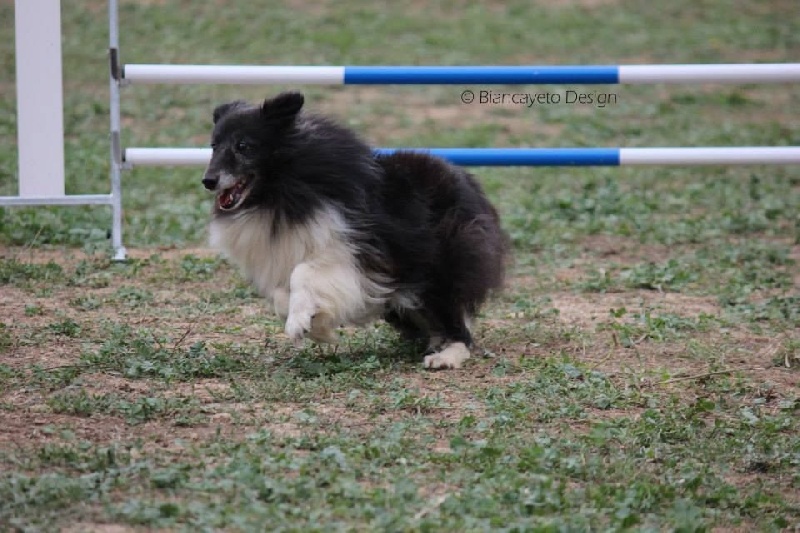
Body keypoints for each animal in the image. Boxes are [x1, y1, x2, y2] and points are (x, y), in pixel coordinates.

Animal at [203, 91, 510, 368]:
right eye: (214, 145)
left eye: (243, 146)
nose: (208, 181)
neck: (284, 188)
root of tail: (469, 183)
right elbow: (281, 295)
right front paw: (317, 327)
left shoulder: (353, 251)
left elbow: (303, 272)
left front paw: (301, 324)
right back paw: (435, 342)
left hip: (440, 265)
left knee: (458, 323)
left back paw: (446, 356)